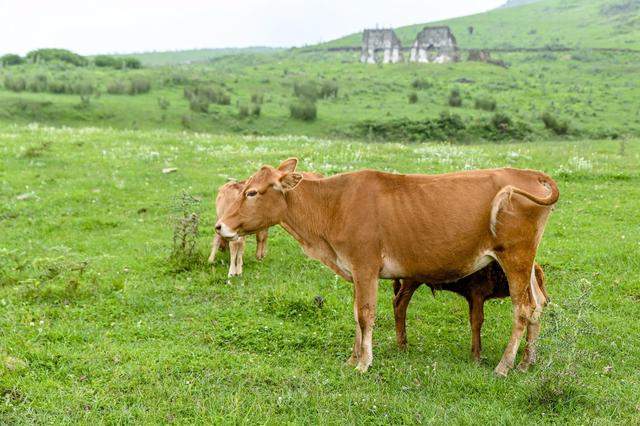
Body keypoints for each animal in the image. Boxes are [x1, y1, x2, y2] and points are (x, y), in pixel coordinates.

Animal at [392, 260, 548, 362]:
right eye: (540, 281)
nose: (547, 300)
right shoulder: (477, 294)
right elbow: (477, 321)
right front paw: (476, 356)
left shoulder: (473, 298)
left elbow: (473, 320)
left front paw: (477, 349)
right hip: (411, 281)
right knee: (399, 304)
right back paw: (402, 346)